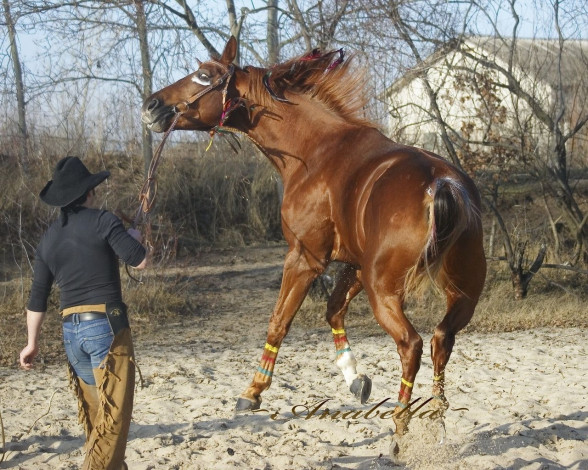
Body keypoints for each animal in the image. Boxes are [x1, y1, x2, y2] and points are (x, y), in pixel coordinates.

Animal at [142, 36, 486, 448]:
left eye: (204, 76)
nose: (151, 106)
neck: (316, 152)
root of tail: (442, 184)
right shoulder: (352, 263)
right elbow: (333, 311)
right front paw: (356, 380)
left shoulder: (304, 258)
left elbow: (279, 321)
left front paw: (252, 392)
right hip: (461, 294)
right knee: (440, 340)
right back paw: (435, 420)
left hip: (384, 290)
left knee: (411, 345)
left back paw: (401, 429)